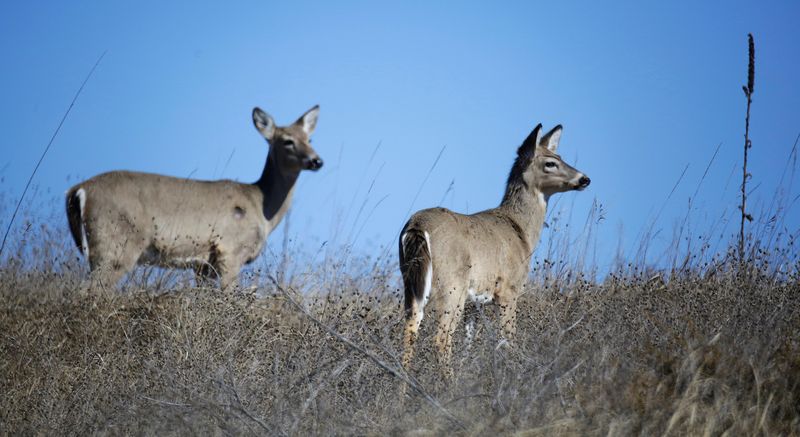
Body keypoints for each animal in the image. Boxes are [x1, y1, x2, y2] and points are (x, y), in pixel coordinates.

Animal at [65, 105, 323, 290]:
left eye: (309, 139)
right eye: (287, 141)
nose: (317, 160)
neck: (261, 206)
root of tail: (77, 190)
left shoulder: (204, 265)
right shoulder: (230, 251)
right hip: (116, 245)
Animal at [399, 123, 590, 373]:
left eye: (560, 156)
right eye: (550, 163)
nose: (585, 179)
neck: (520, 230)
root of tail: (417, 226)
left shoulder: (475, 304)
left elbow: (468, 345)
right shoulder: (509, 289)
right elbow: (507, 339)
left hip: (412, 283)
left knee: (411, 329)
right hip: (452, 286)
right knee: (440, 339)